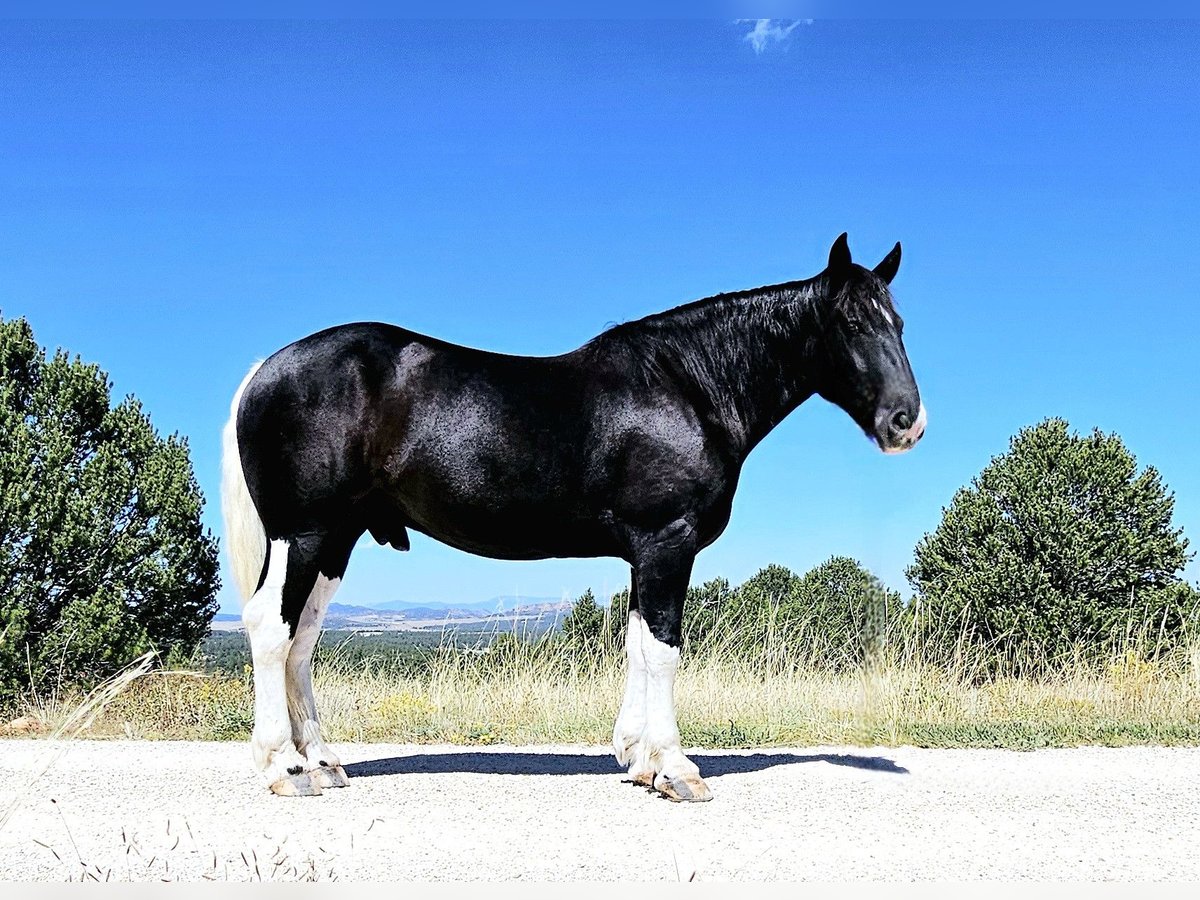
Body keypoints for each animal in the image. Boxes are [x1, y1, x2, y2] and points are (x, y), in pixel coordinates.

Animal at [218, 234, 926, 801]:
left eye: (898, 323)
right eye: (850, 324)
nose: (906, 423)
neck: (689, 387)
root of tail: (264, 372)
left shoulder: (645, 553)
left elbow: (638, 645)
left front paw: (639, 760)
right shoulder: (667, 542)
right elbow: (664, 651)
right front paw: (677, 770)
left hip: (335, 540)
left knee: (303, 638)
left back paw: (324, 761)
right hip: (304, 534)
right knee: (271, 629)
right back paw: (283, 767)